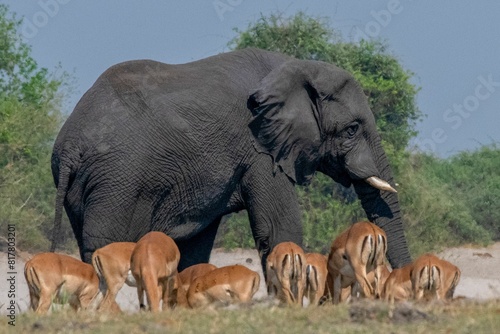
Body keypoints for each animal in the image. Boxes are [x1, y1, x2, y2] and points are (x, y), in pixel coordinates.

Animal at [50, 47, 412, 272]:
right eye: (352, 130)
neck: (295, 68)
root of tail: (68, 145)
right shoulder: (260, 147)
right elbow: (279, 226)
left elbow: (196, 243)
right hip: (118, 182)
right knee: (104, 246)